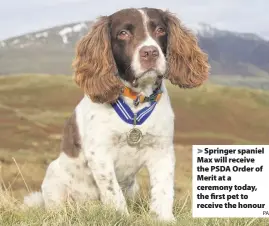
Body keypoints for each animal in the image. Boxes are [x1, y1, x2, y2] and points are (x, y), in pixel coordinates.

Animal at [24, 7, 208, 222]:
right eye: (123, 33)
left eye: (161, 30)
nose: (150, 52)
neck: (136, 102)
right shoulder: (100, 153)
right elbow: (113, 192)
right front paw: (121, 216)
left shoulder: (162, 149)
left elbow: (163, 189)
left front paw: (164, 218)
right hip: (54, 178)